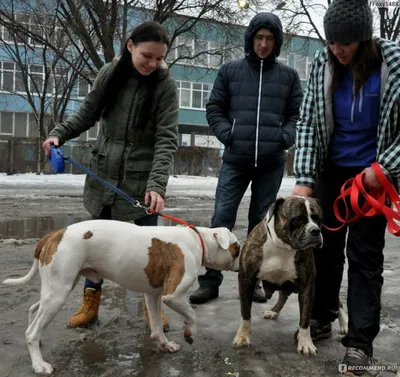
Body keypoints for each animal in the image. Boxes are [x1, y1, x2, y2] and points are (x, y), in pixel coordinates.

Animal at [2, 219, 241, 374]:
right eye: (237, 248)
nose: (241, 265)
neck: (198, 241)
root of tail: (54, 234)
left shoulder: (152, 294)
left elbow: (156, 327)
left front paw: (164, 346)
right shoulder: (173, 295)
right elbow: (192, 314)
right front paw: (190, 332)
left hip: (57, 288)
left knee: (34, 310)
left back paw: (38, 345)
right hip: (58, 293)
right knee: (31, 332)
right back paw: (39, 364)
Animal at [233, 197, 348, 356]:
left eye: (318, 219)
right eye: (298, 219)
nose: (315, 230)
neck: (283, 247)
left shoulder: (307, 285)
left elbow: (305, 318)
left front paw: (305, 342)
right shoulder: (246, 280)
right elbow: (245, 313)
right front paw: (243, 336)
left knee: (337, 301)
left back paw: (345, 324)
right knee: (283, 296)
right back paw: (273, 312)